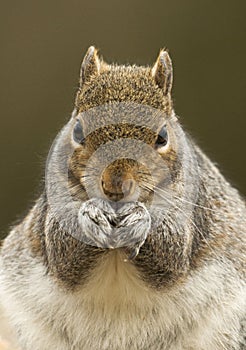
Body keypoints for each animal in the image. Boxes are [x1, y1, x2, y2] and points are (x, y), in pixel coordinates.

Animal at [0, 47, 246, 350]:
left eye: (163, 136)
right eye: (77, 131)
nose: (114, 185)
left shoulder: (192, 205)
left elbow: (173, 253)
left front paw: (139, 221)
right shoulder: (53, 202)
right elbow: (62, 252)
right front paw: (91, 217)